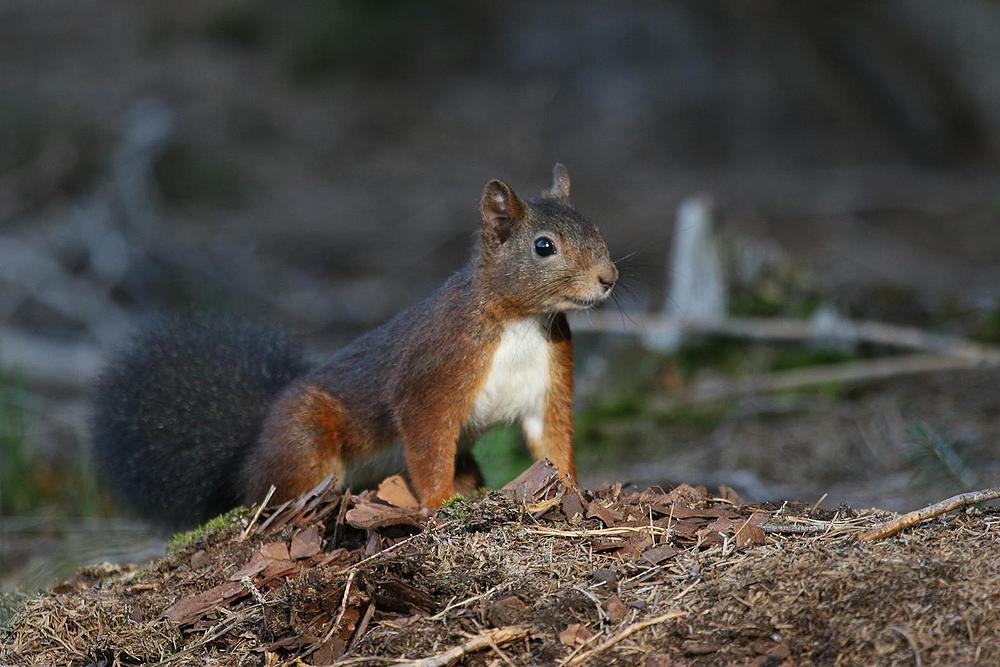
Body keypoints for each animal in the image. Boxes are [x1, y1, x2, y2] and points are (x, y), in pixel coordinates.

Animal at [91, 164, 617, 528]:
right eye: (544, 247)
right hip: (304, 439)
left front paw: (574, 490)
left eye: (597, 229)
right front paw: (440, 502)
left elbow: (551, 440)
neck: (519, 320)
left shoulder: (549, 378)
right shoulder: (433, 371)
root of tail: (247, 454)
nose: (609, 278)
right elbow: (426, 441)